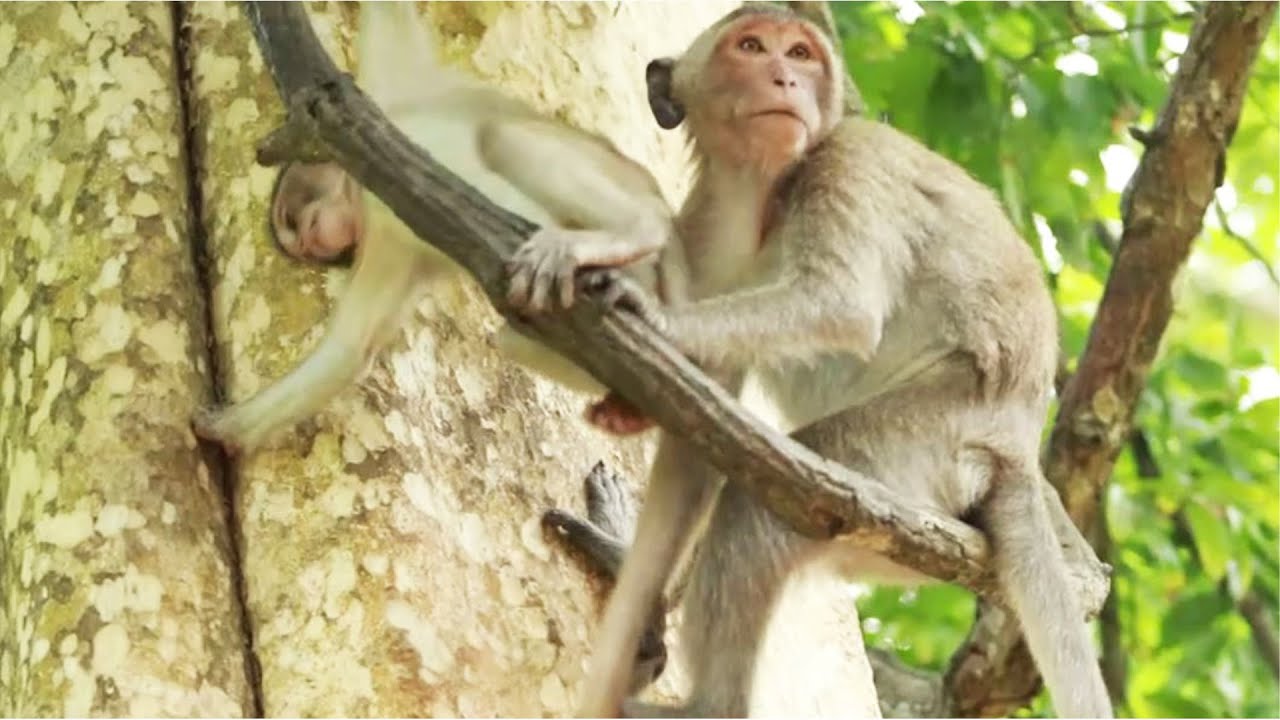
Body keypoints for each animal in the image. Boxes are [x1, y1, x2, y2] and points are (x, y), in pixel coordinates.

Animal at [192, 2, 680, 452]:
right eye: (306, 243)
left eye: (302, 223)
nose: (315, 243)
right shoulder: (389, 233)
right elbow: (351, 350)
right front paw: (223, 429)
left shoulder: (387, 159)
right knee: (513, 337)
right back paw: (631, 406)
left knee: (505, 140)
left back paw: (634, 234)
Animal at [552, 4, 1114, 717]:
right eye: (751, 46)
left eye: (800, 53)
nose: (784, 79)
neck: (763, 192)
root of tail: (1014, 447)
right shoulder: (702, 227)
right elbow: (697, 422)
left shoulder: (847, 164)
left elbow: (841, 307)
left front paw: (650, 316)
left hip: (926, 443)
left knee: (760, 507)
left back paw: (708, 704)